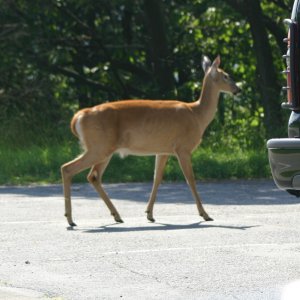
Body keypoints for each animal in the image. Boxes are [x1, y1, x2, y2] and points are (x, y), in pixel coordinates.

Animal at [61, 55, 241, 226]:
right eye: (226, 75)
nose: (238, 89)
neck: (197, 115)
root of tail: (78, 117)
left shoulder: (163, 150)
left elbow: (157, 178)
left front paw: (149, 214)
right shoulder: (183, 147)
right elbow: (190, 179)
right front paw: (205, 214)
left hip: (103, 149)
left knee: (93, 176)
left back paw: (116, 216)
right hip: (99, 147)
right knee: (67, 168)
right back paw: (70, 219)